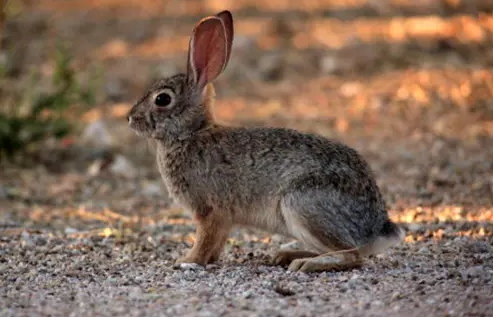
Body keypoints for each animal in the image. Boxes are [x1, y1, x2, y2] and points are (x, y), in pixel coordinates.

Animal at [128, 9, 404, 272]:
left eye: (162, 99)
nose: (130, 118)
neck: (191, 133)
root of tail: (377, 226)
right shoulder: (223, 219)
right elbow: (216, 243)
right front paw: (207, 259)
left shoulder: (209, 210)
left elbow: (204, 240)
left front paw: (187, 260)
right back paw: (287, 255)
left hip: (301, 204)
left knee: (353, 255)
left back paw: (306, 264)